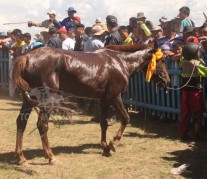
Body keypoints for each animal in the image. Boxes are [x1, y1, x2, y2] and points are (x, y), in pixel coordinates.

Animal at [11, 44, 170, 164]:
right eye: (162, 61)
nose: (167, 80)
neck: (121, 62)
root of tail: (27, 57)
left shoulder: (104, 99)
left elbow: (103, 123)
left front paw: (105, 146)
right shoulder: (115, 97)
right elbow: (126, 118)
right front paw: (113, 143)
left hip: (29, 99)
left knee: (21, 122)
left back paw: (21, 157)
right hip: (48, 99)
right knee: (42, 125)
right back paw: (50, 156)